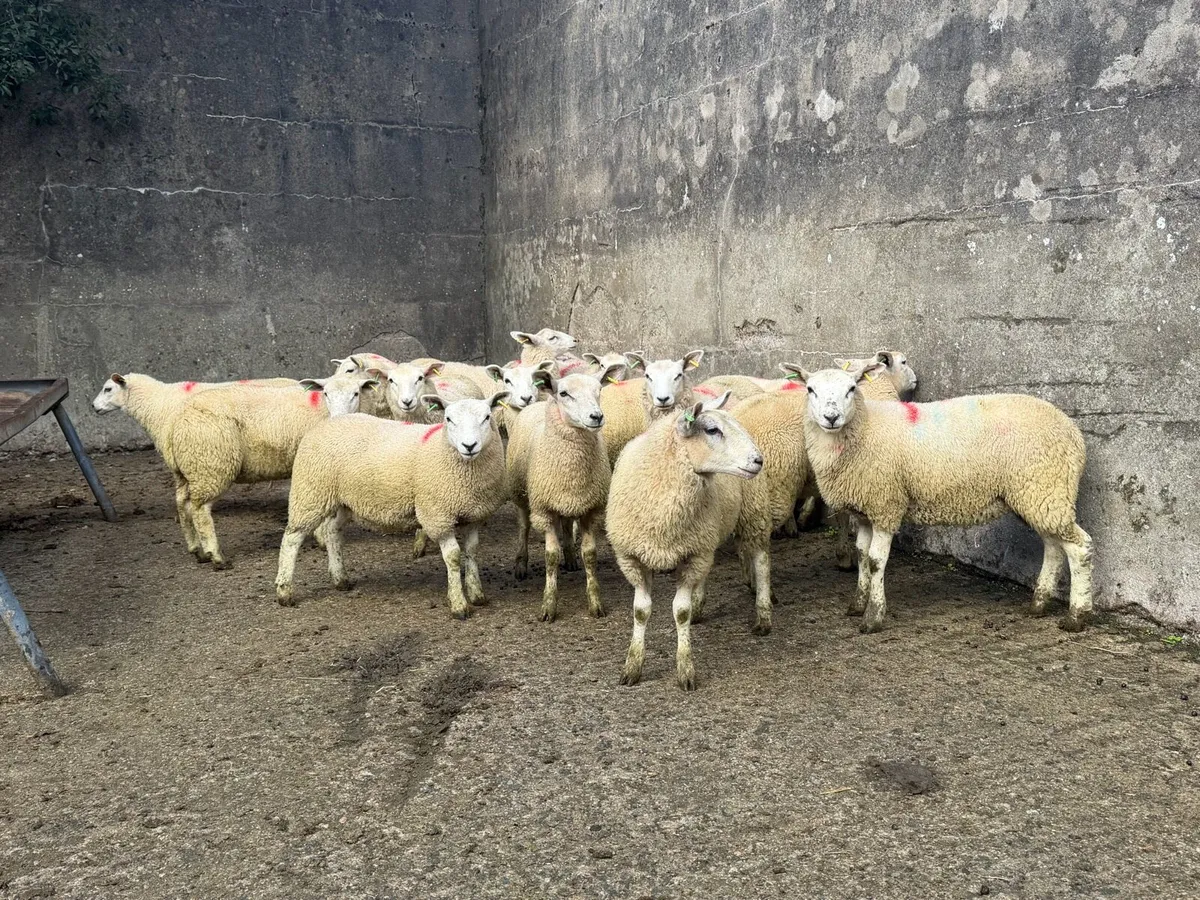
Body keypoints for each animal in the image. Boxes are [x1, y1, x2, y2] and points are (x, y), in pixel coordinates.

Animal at [274, 392, 510, 618]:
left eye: (486, 417)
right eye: (448, 419)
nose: (469, 446)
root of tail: (327, 423)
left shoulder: (474, 515)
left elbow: (471, 551)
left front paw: (477, 594)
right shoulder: (437, 516)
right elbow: (453, 558)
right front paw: (459, 605)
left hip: (344, 500)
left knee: (332, 532)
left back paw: (340, 579)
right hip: (310, 493)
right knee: (292, 539)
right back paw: (284, 591)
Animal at [506, 363, 625, 621]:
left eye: (599, 390)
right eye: (564, 394)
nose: (596, 417)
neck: (573, 469)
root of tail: (536, 403)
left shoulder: (591, 509)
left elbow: (590, 554)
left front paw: (595, 603)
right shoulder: (544, 511)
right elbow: (551, 556)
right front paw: (549, 606)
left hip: (568, 501)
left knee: (568, 524)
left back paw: (570, 557)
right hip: (521, 494)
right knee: (523, 526)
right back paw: (521, 564)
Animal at [606, 392, 771, 691]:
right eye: (712, 430)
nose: (758, 460)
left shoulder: (692, 556)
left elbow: (680, 612)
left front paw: (685, 670)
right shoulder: (634, 558)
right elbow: (640, 612)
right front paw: (632, 667)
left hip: (753, 512)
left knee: (762, 560)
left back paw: (764, 617)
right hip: (706, 537)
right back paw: (700, 605)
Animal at [790, 359, 1093, 633]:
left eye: (852, 388)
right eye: (810, 389)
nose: (831, 418)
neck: (864, 428)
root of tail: (1073, 431)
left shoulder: (887, 504)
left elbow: (876, 562)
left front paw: (873, 617)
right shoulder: (865, 509)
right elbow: (863, 555)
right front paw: (857, 604)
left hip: (1046, 487)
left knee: (1079, 547)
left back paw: (1076, 617)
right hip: (1039, 496)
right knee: (1053, 547)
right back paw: (1038, 605)